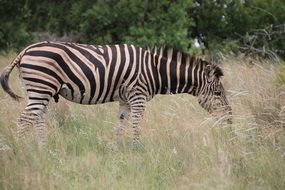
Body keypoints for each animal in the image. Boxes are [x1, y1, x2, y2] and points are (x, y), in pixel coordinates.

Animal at [0, 41, 231, 148]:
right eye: (218, 92)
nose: (229, 119)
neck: (155, 71)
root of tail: (25, 50)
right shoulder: (138, 96)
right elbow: (136, 124)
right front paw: (137, 150)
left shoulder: (125, 100)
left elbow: (120, 125)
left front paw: (116, 150)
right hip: (41, 88)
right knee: (24, 119)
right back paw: (24, 151)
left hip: (40, 91)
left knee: (37, 118)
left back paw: (43, 149)